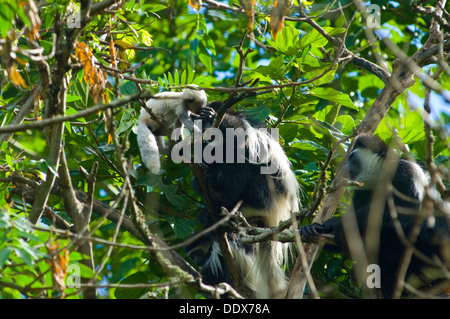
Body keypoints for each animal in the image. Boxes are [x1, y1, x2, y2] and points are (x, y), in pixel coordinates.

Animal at [185, 102, 300, 300]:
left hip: (263, 192)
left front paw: (212, 115)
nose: (197, 261)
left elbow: (241, 135)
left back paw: (223, 194)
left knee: (241, 156)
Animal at [298, 134, 450, 298]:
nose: (344, 168)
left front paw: (334, 223)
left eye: (352, 158)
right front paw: (312, 228)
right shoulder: (362, 192)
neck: (380, 178)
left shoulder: (404, 173)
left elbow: (407, 209)